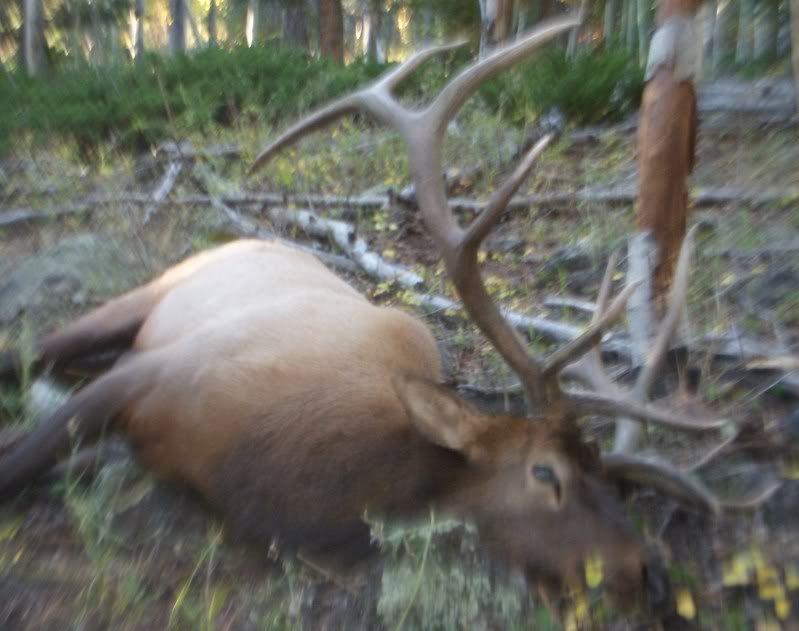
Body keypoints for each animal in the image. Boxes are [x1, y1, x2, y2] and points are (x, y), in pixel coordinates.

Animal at [0, 16, 775, 611]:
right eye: (544, 473)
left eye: (613, 483)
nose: (649, 571)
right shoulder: (154, 369)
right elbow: (23, 455)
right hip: (151, 295)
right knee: (35, 346)